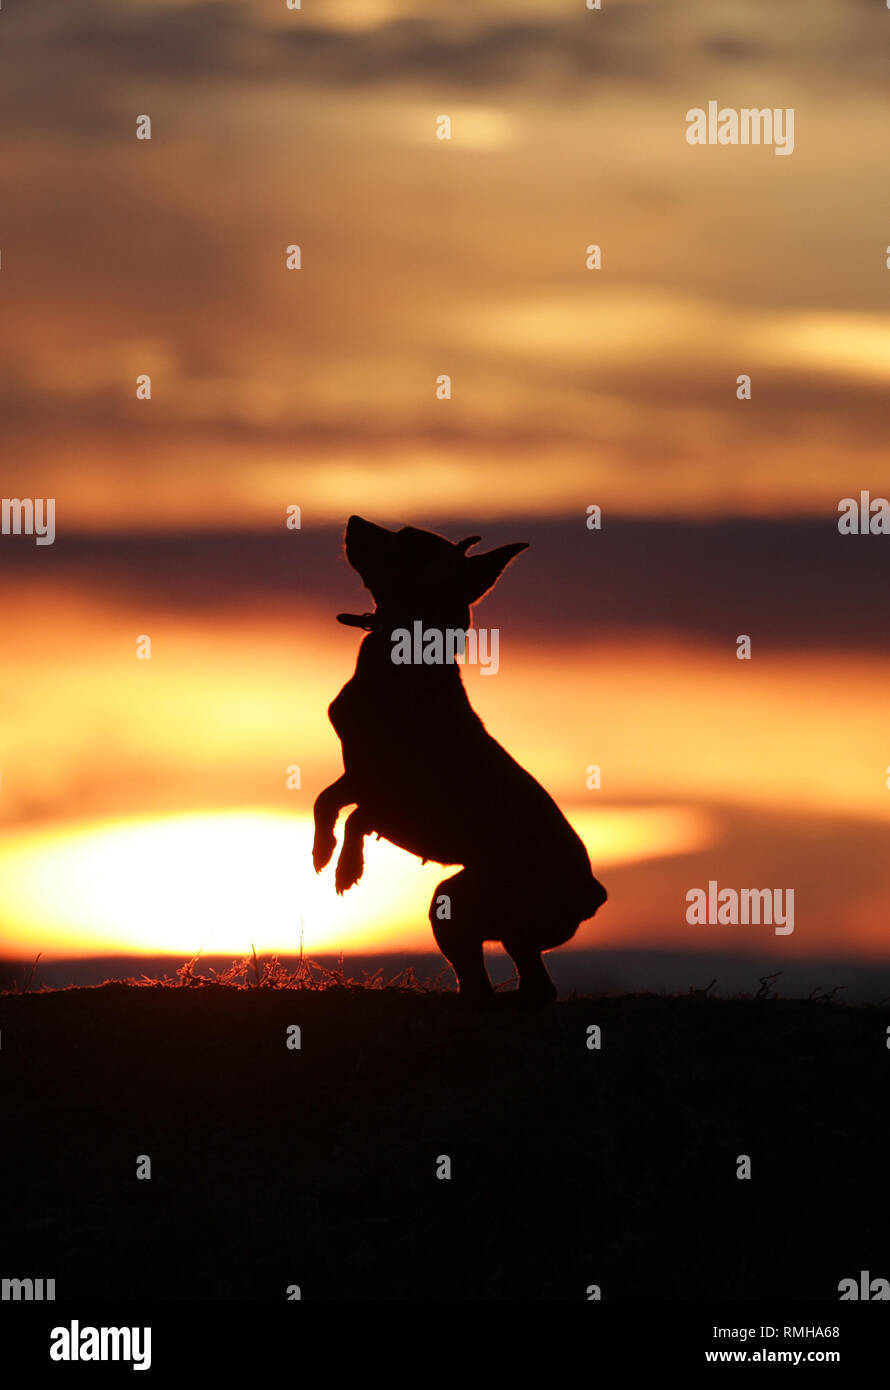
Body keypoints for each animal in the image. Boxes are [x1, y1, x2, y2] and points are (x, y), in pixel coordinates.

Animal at [308, 517, 609, 1006]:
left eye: (407, 542)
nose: (354, 520)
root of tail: (592, 893)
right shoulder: (359, 774)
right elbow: (326, 799)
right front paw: (322, 849)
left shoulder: (397, 795)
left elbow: (358, 815)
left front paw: (348, 866)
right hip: (467, 912)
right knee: (512, 979)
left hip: (466, 903)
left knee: (504, 979)